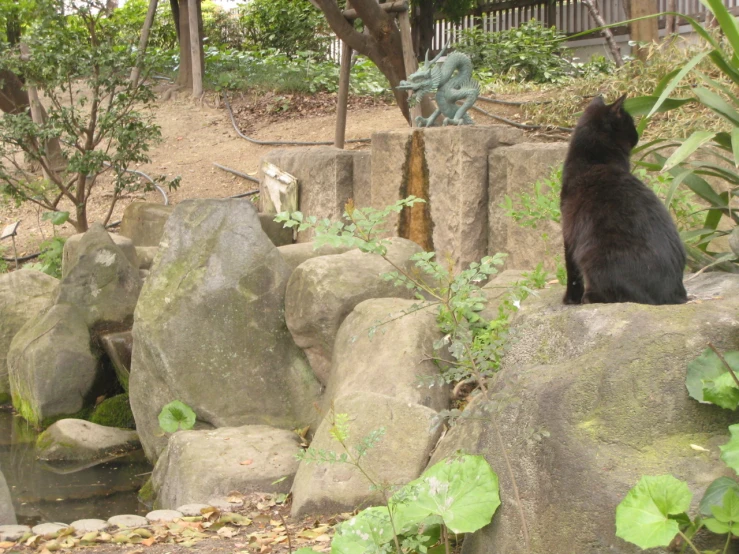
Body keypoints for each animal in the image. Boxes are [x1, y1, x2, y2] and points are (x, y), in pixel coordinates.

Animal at [560, 93, 688, 304]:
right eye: (631, 123)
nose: (637, 134)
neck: (593, 160)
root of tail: (673, 293)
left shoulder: (568, 232)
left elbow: (572, 273)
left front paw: (570, 299)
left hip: (594, 254)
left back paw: (590, 297)